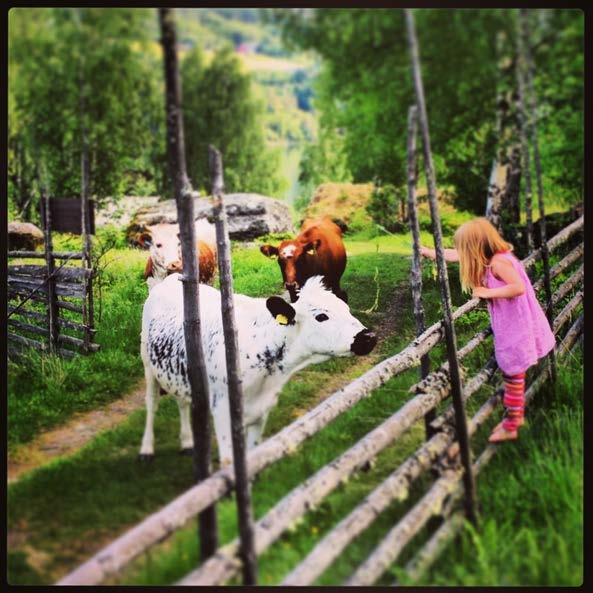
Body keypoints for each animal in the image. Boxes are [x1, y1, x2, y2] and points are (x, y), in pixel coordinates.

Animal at [140, 276, 374, 464]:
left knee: (182, 402)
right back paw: (146, 449)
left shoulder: (261, 412)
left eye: (347, 309)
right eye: (321, 316)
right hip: (147, 363)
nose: (368, 336)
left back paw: (188, 442)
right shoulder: (222, 412)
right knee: (151, 404)